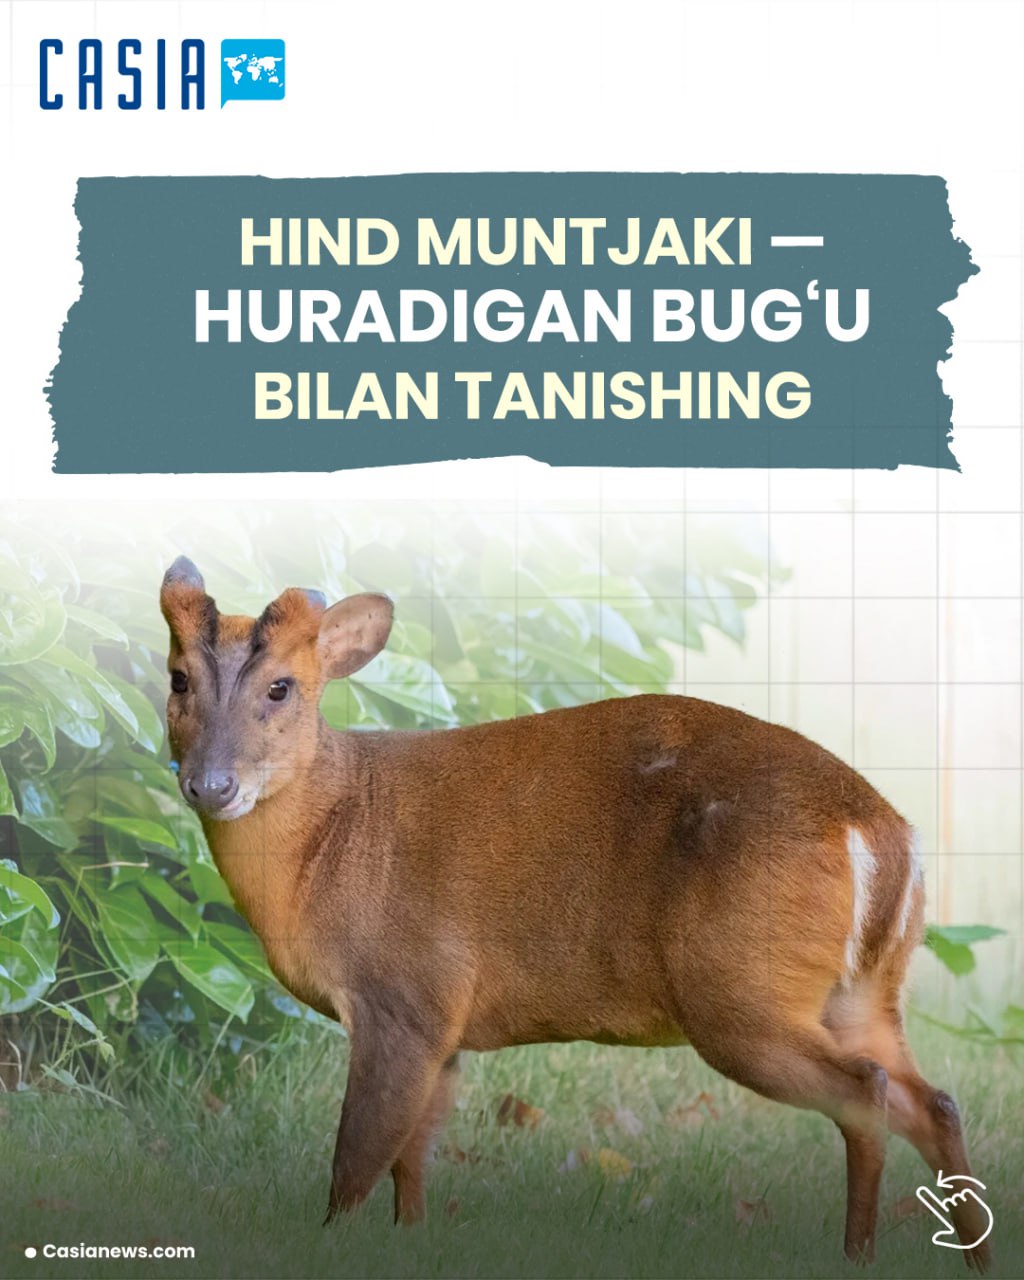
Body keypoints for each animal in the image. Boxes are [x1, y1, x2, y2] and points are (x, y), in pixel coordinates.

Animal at [159, 556, 991, 1269]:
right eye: (177, 679)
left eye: (281, 688)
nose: (211, 784)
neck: (330, 842)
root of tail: (884, 833)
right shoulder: (444, 1025)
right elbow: (412, 1168)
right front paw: (412, 1243)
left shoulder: (405, 994)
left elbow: (357, 1164)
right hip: (862, 991)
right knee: (934, 1101)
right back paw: (974, 1257)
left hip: (739, 990)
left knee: (867, 1092)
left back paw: (859, 1255)